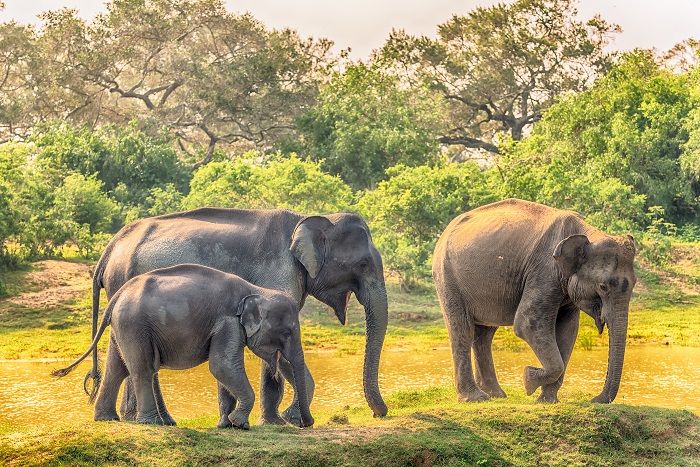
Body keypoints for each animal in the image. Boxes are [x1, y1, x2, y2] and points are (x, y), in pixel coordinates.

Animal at [53, 264, 314, 429]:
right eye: (287, 332)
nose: (306, 424)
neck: (256, 290)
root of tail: (117, 295)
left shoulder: (226, 326)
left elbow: (223, 370)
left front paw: (227, 425)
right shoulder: (228, 321)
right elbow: (222, 366)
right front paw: (240, 423)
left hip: (124, 327)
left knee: (117, 369)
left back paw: (107, 420)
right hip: (134, 325)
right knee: (143, 369)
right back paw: (152, 423)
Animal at [85, 208, 388, 426]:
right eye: (363, 264)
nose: (379, 414)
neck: (310, 218)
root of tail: (109, 249)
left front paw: (279, 420)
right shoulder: (278, 272)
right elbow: (277, 354)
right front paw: (279, 422)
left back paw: (132, 418)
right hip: (126, 285)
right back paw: (155, 421)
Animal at [432, 199, 636, 404]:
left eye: (634, 283)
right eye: (603, 286)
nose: (594, 399)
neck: (586, 232)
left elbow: (568, 330)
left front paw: (547, 400)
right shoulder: (544, 271)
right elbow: (527, 323)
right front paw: (528, 380)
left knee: (484, 335)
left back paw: (495, 395)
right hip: (447, 277)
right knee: (462, 330)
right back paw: (476, 398)